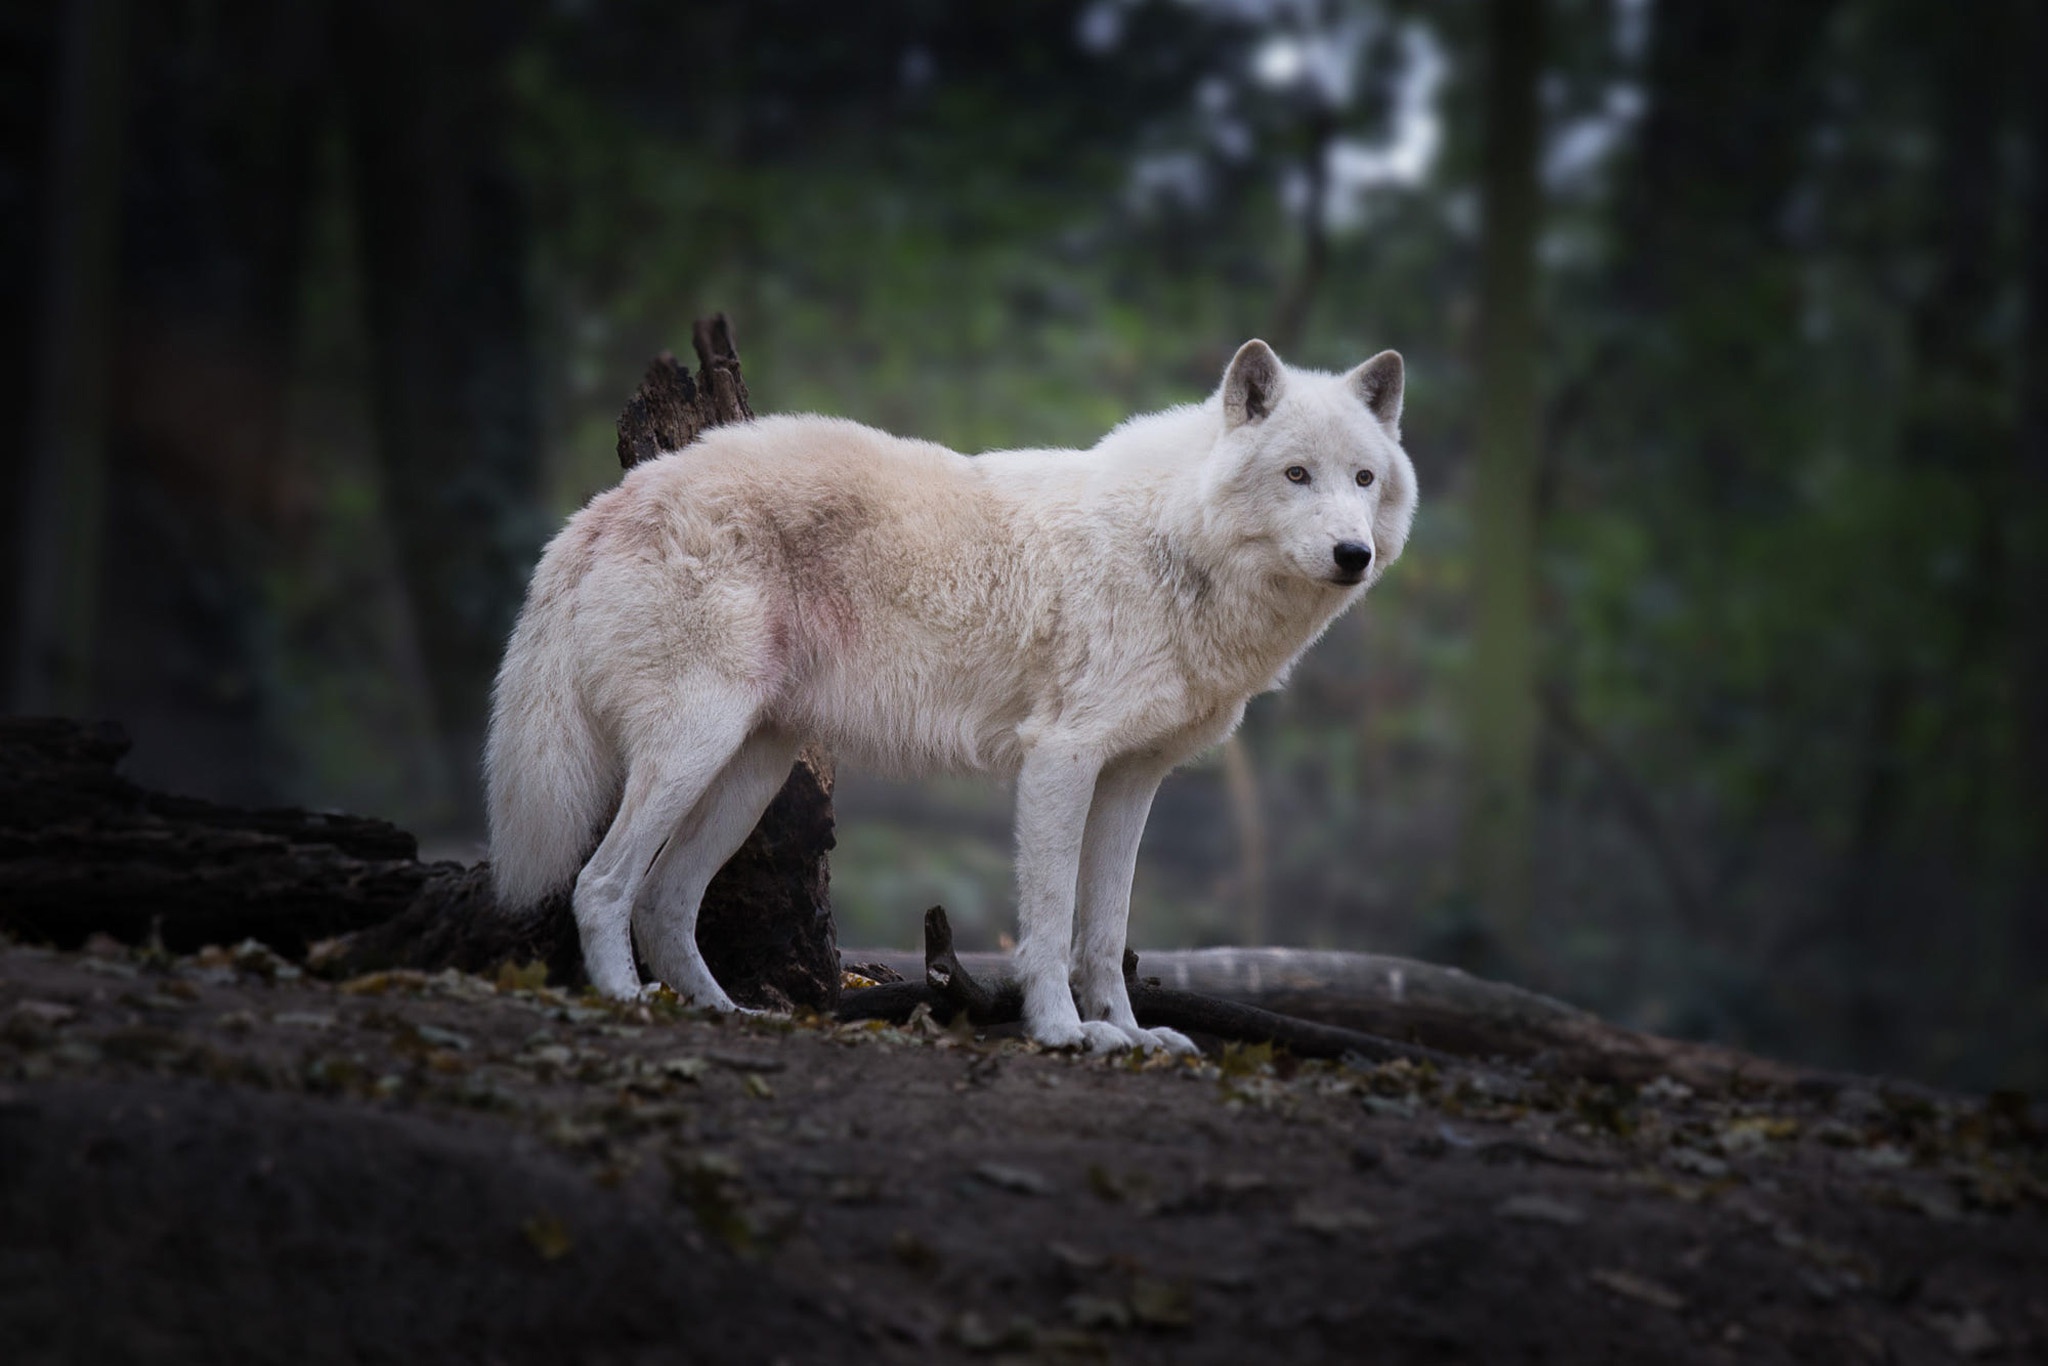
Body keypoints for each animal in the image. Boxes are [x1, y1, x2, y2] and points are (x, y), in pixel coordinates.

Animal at [483, 342, 1409, 1056]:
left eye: (1364, 478)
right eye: (1297, 475)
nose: (1353, 554)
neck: (1173, 541)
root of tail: (610, 502)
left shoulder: (1132, 779)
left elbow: (1105, 935)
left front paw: (1131, 1034)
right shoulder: (1061, 761)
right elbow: (1050, 927)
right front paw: (1064, 1033)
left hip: (750, 772)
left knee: (665, 902)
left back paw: (730, 1015)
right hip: (691, 749)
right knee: (602, 884)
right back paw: (624, 1002)